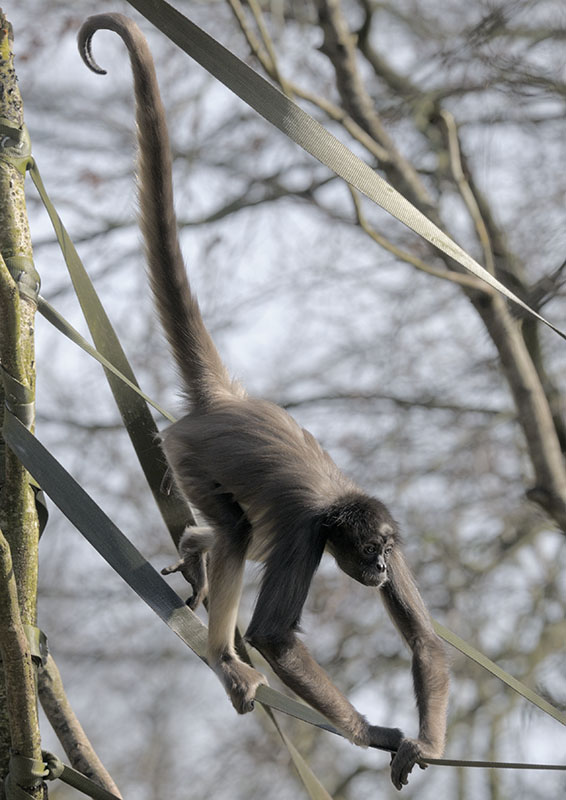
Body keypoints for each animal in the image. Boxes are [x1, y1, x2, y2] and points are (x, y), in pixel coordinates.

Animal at [78, 14, 450, 790]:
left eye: (386, 551)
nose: (378, 570)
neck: (340, 503)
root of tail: (227, 400)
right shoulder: (310, 532)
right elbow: (276, 637)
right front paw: (373, 733)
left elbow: (426, 642)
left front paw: (425, 743)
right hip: (188, 453)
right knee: (239, 533)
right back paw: (226, 654)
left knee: (228, 536)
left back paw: (194, 550)